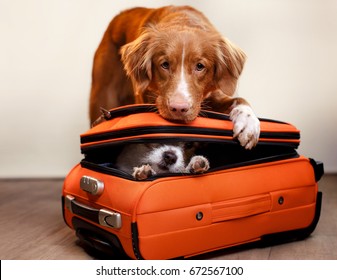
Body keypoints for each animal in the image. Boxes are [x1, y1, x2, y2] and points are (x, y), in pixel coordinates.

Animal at [89, 4, 260, 149]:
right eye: (165, 64)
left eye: (200, 66)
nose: (178, 108)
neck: (184, 20)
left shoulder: (213, 95)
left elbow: (239, 100)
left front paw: (248, 122)